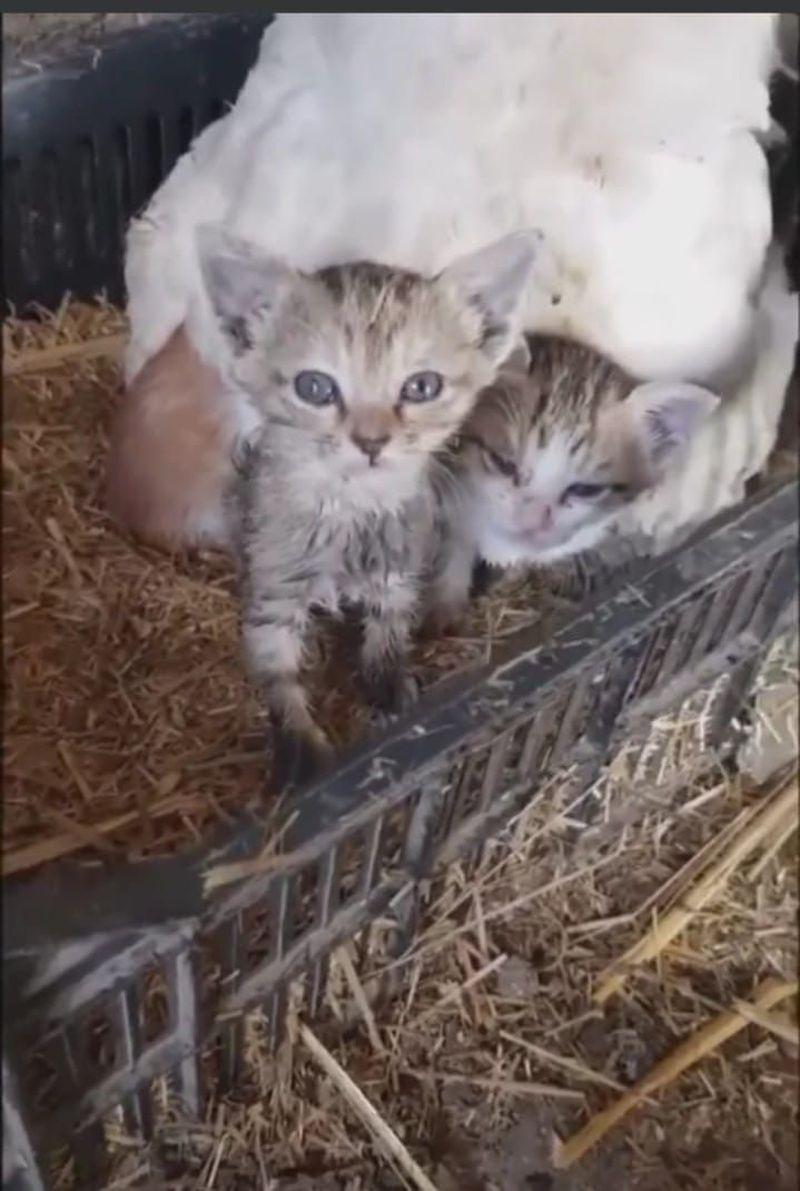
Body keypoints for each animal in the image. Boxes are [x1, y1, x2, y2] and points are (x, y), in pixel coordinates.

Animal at [196, 222, 540, 786]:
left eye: (422, 386)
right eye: (315, 387)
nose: (372, 441)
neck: (351, 508)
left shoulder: (400, 573)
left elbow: (388, 631)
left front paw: (390, 684)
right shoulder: (274, 594)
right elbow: (277, 671)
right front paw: (299, 741)